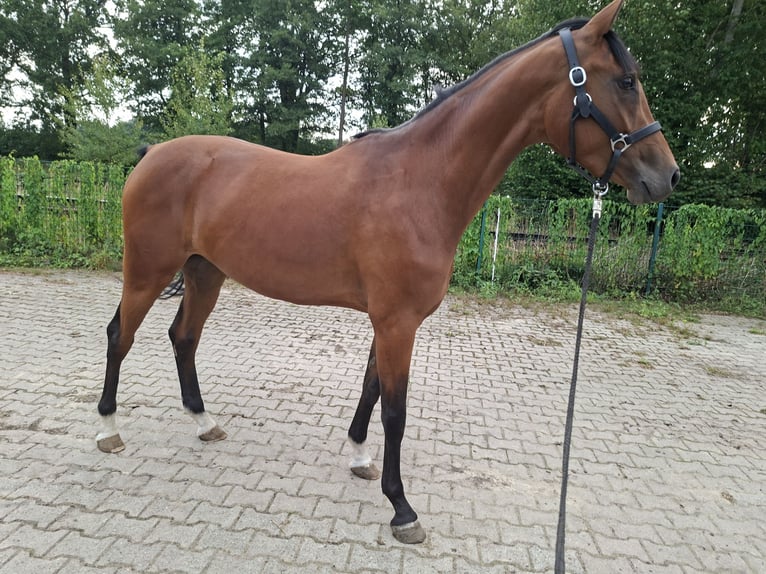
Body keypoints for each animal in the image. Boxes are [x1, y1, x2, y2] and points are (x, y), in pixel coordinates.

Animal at [96, 0, 679, 544]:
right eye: (626, 82)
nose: (667, 176)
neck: (419, 181)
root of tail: (152, 154)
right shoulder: (398, 321)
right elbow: (395, 410)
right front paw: (401, 508)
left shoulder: (391, 320)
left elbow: (372, 387)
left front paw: (358, 457)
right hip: (147, 271)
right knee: (120, 335)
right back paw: (107, 429)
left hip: (205, 273)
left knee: (183, 337)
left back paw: (204, 422)